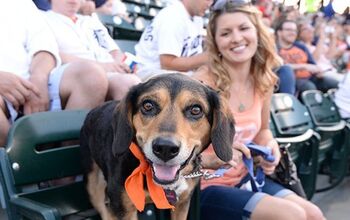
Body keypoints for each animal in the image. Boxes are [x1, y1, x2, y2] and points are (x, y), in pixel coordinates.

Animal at [80, 74, 235, 220]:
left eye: (196, 109)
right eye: (148, 105)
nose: (165, 148)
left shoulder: (182, 203)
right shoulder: (122, 208)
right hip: (93, 185)